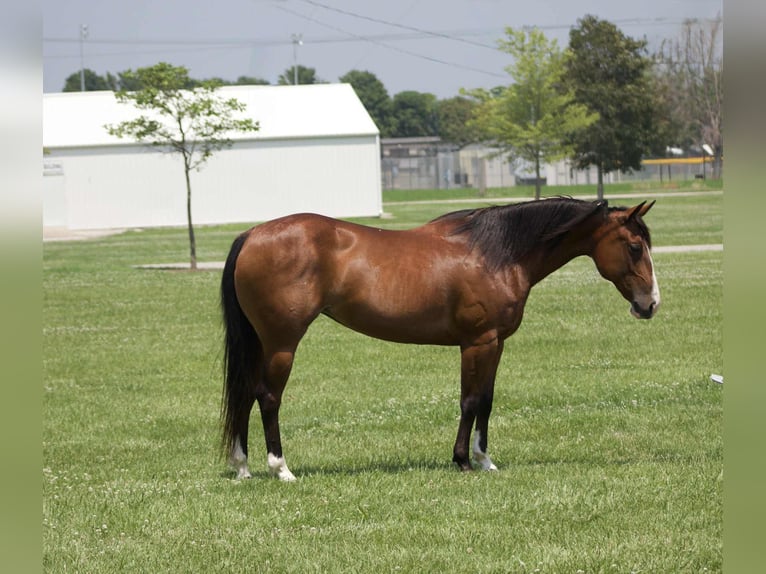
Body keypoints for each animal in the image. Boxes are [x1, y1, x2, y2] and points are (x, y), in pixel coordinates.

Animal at [220, 197, 659, 481]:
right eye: (634, 247)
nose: (650, 304)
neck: (496, 253)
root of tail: (252, 234)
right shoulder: (477, 343)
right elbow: (470, 401)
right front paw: (463, 460)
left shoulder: (496, 343)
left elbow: (487, 401)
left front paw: (485, 460)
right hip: (281, 344)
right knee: (268, 398)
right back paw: (281, 469)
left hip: (260, 344)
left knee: (244, 393)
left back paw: (243, 467)